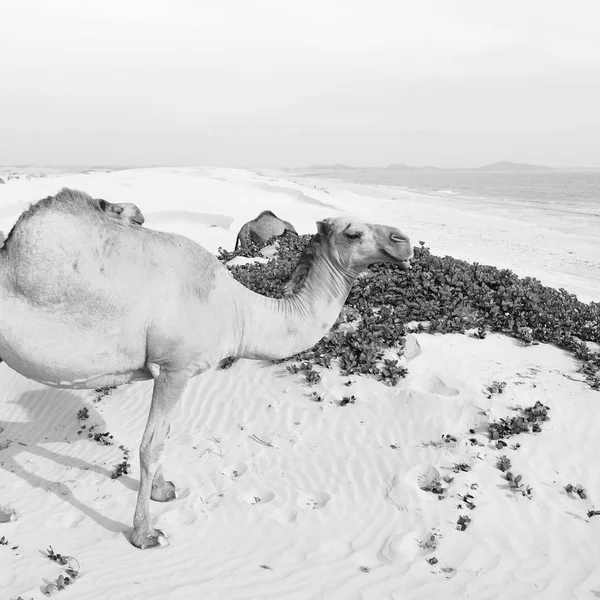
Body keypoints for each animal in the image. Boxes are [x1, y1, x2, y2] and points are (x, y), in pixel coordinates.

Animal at [0, 188, 412, 548]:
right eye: (354, 233)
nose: (403, 239)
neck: (237, 311)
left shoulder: (167, 372)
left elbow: (162, 434)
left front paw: (163, 490)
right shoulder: (175, 368)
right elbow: (151, 444)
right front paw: (144, 534)